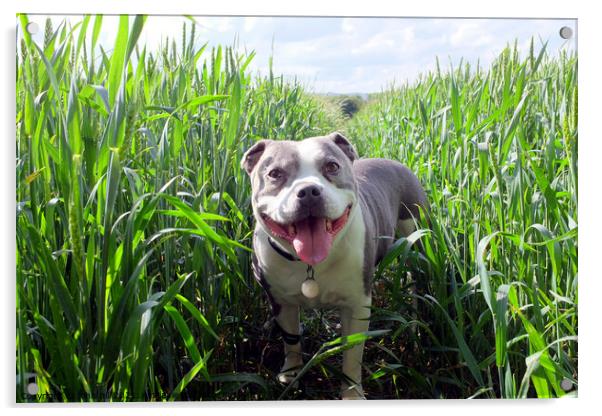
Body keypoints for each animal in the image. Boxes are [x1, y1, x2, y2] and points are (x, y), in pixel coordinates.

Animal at [240, 132, 426, 400]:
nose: (308, 191)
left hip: (415, 239)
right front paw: (291, 373)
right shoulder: (282, 302)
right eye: (274, 173)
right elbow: (291, 340)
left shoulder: (357, 305)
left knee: (414, 279)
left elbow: (353, 353)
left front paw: (352, 394)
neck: (310, 266)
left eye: (332, 166)